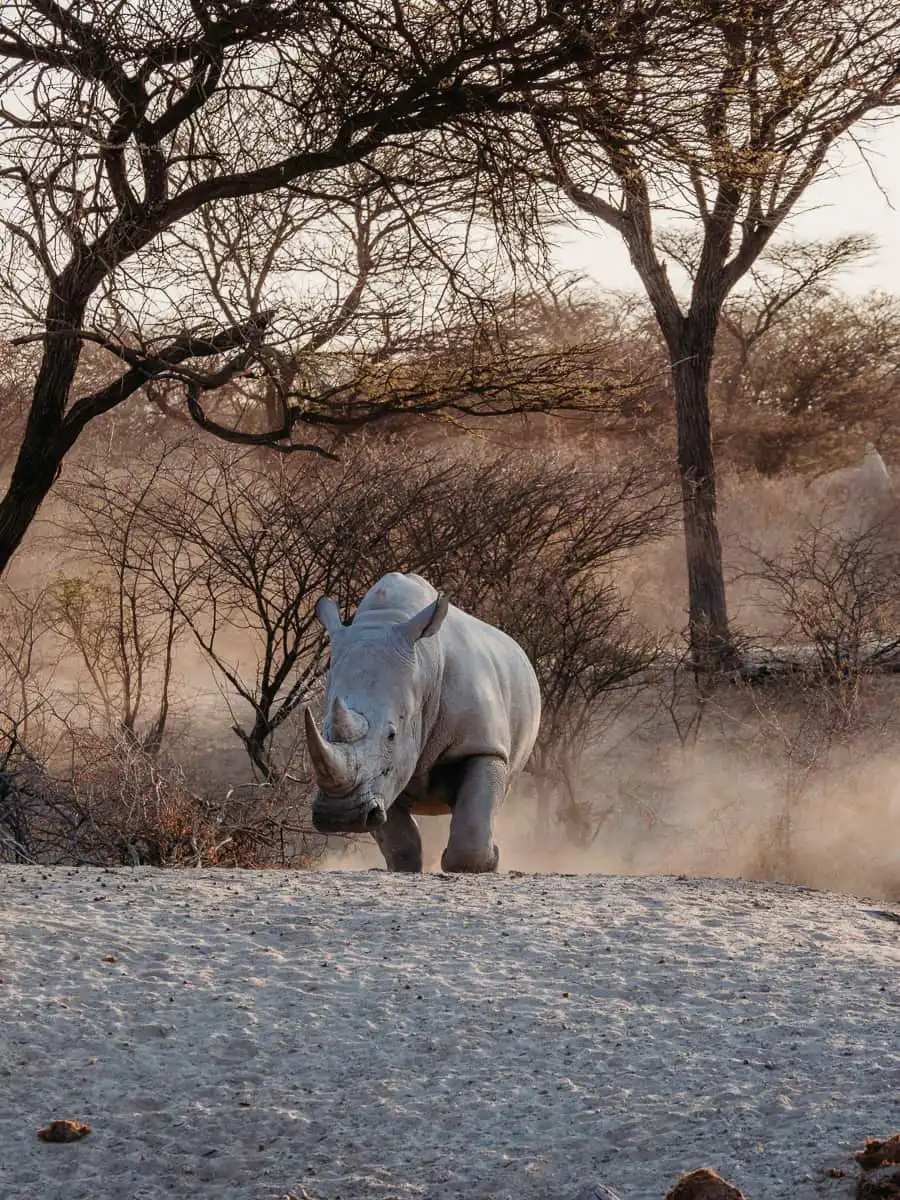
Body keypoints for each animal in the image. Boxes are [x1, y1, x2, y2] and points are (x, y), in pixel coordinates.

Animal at [304, 572, 541, 872]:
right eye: (323, 730)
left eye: (391, 735)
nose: (340, 815)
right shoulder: (385, 773)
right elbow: (399, 837)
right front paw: (404, 867)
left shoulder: (484, 745)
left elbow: (473, 824)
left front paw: (489, 862)